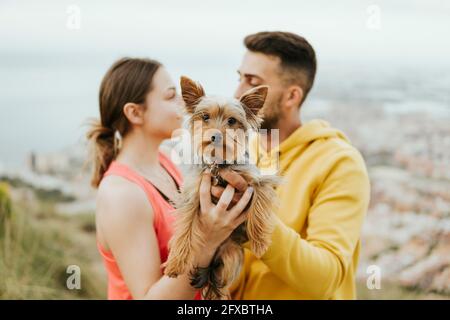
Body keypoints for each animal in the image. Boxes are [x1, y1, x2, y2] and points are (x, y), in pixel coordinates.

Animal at [163, 75, 280, 300]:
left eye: (232, 121)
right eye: (205, 117)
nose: (215, 135)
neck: (219, 166)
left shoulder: (257, 181)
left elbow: (259, 207)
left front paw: (260, 242)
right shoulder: (192, 194)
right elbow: (185, 229)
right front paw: (176, 263)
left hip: (231, 254)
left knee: (221, 281)